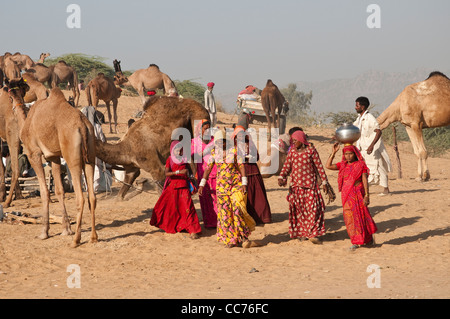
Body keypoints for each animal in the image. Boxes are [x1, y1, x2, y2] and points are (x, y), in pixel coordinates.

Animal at [5, 79, 97, 249]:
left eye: (9, 95)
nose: (12, 106)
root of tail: (82, 125)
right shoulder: (54, 157)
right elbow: (59, 190)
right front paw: (66, 229)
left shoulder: (34, 154)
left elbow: (44, 191)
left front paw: (44, 233)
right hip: (91, 156)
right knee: (92, 197)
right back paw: (93, 237)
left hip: (72, 157)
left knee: (80, 197)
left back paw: (76, 240)